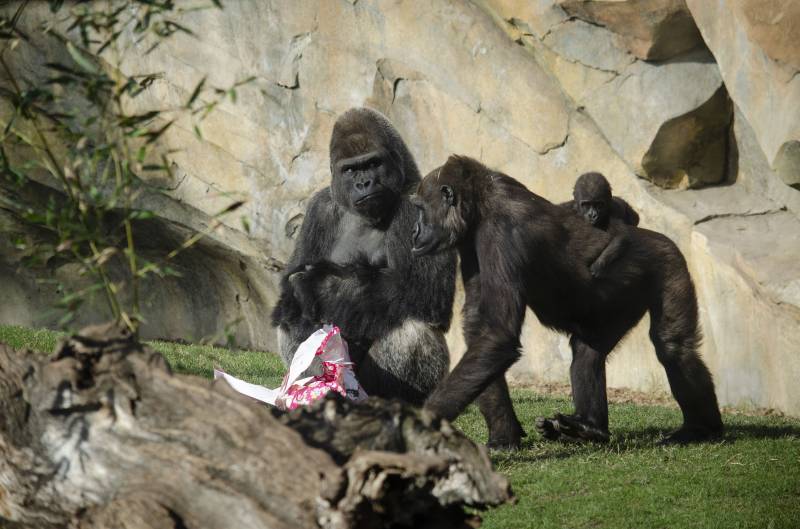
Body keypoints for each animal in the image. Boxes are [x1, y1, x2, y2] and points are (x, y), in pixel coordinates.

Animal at [270, 107, 454, 404]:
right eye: (350, 169)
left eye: (372, 164)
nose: (364, 183)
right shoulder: (319, 209)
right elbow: (290, 282)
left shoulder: (422, 207)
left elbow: (424, 290)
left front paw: (321, 286)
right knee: (290, 312)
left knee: (410, 326)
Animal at [412, 156, 724, 446]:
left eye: (420, 208)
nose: (414, 231)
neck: (482, 202)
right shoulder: (468, 242)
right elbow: (480, 325)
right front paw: (504, 432)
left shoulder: (501, 233)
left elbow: (497, 335)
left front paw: (418, 428)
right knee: (588, 352)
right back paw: (590, 428)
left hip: (668, 260)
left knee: (674, 347)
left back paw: (700, 429)